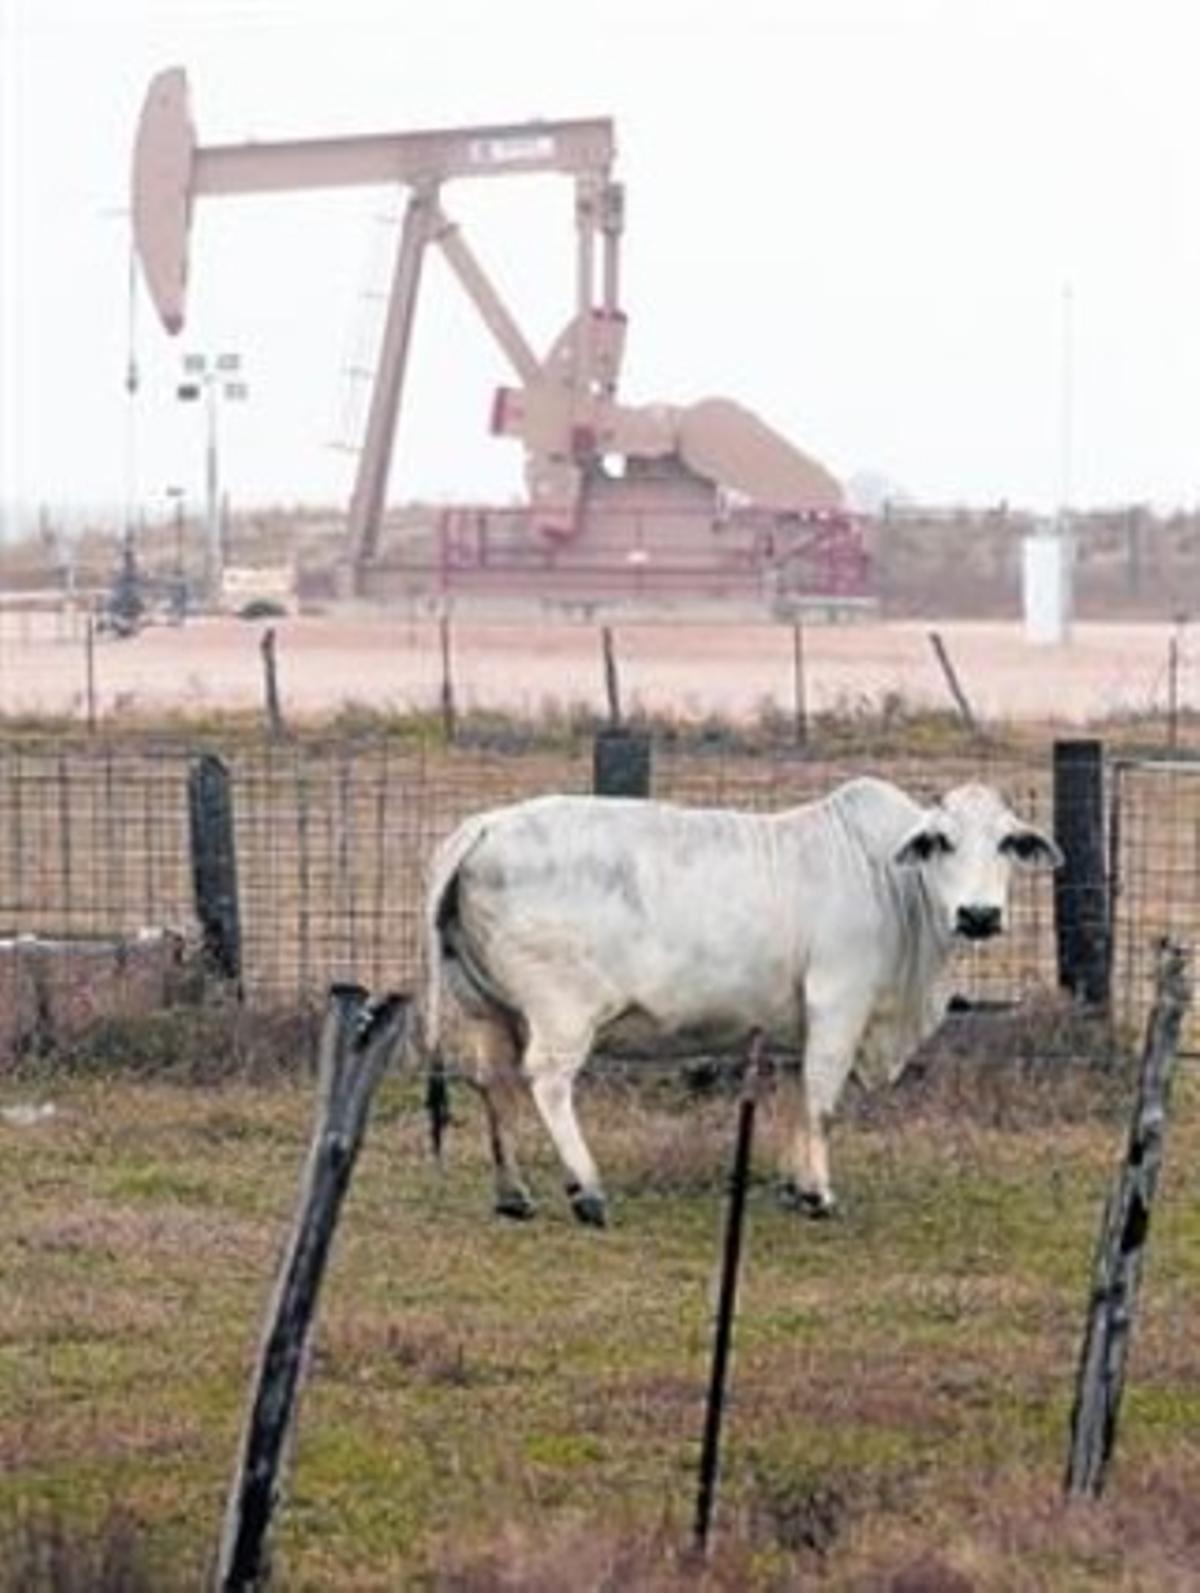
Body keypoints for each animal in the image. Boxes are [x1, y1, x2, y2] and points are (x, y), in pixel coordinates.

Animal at [423, 777, 1058, 1223]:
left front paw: (794, 1186)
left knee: (494, 1084)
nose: (979, 914)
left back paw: (513, 1194)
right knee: (547, 1083)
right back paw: (587, 1191)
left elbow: (799, 1098)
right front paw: (819, 1194)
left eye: (1006, 842)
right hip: (562, 1015)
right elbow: (822, 1100)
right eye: (942, 842)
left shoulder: (799, 1027)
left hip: (485, 1009)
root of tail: (485, 825)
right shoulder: (838, 1006)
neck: (886, 879)